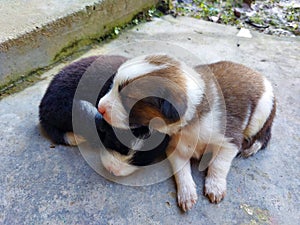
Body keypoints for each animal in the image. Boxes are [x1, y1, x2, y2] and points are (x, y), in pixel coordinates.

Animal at [97, 54, 276, 211]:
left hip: (261, 111)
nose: (99, 107)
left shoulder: (229, 139)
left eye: (128, 98)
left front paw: (215, 186)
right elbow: (181, 169)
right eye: (112, 85)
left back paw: (253, 146)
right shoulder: (175, 147)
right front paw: (187, 193)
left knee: (266, 132)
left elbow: (219, 164)